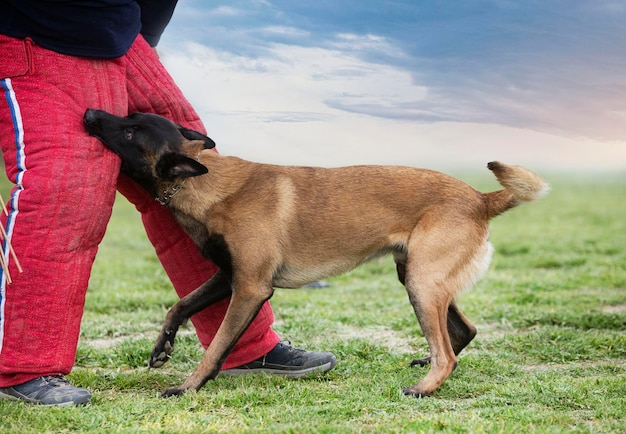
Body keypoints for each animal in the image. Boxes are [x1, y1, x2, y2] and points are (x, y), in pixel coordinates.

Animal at [83, 107, 544, 396]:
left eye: (129, 131)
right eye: (128, 119)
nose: (89, 114)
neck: (209, 183)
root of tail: (481, 198)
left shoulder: (250, 288)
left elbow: (217, 346)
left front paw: (188, 385)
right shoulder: (229, 277)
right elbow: (179, 305)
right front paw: (162, 347)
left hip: (422, 282)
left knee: (446, 353)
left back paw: (424, 387)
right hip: (416, 276)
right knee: (464, 331)